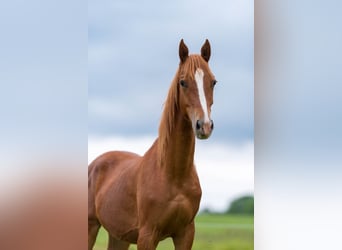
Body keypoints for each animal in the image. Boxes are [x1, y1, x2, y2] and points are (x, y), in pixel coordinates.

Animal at [88, 39, 216, 250]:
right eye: (183, 82)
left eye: (213, 82)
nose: (204, 126)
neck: (173, 174)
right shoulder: (148, 236)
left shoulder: (185, 234)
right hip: (91, 226)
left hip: (119, 236)